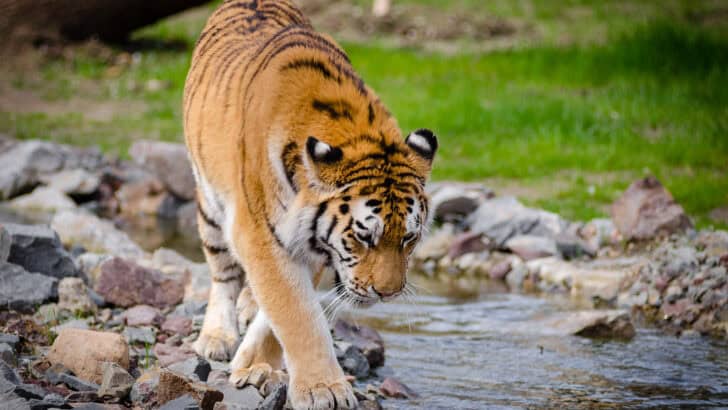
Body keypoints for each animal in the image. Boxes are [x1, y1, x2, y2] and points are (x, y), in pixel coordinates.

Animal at [183, 1, 438, 408]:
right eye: (364, 237)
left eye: (409, 239)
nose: (387, 293)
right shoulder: (259, 232)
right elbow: (297, 313)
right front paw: (324, 390)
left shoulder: (314, 243)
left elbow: (280, 312)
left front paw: (255, 365)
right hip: (210, 205)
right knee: (222, 273)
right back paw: (217, 337)